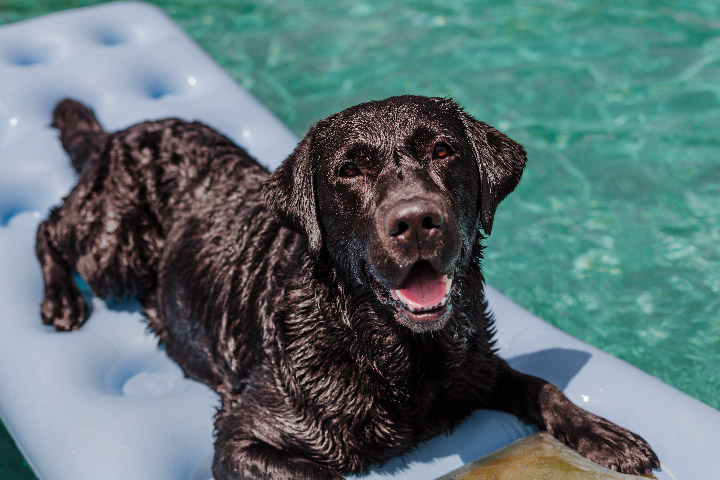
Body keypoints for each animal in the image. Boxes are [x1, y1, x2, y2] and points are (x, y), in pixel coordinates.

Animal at [38, 95, 660, 478]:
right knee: (49, 227)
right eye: (349, 171)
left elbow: (542, 386)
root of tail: (119, 133)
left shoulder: (477, 365)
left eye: (443, 150)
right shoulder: (239, 437)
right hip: (112, 245)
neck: (393, 351)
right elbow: (319, 471)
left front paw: (608, 436)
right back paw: (60, 301)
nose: (416, 220)